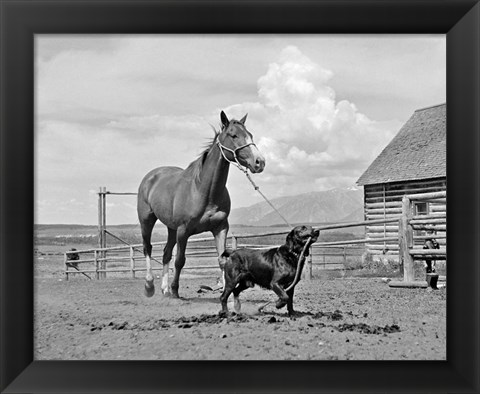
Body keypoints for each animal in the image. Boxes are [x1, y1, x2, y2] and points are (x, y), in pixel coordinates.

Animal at [137, 110, 266, 296]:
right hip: (147, 220)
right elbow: (180, 260)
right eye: (233, 135)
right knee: (148, 248)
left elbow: (222, 260)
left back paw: (164, 289)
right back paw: (150, 286)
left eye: (250, 134)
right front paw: (175, 290)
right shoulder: (183, 231)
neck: (203, 191)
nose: (259, 162)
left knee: (166, 253)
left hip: (171, 228)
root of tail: (151, 177)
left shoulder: (220, 228)